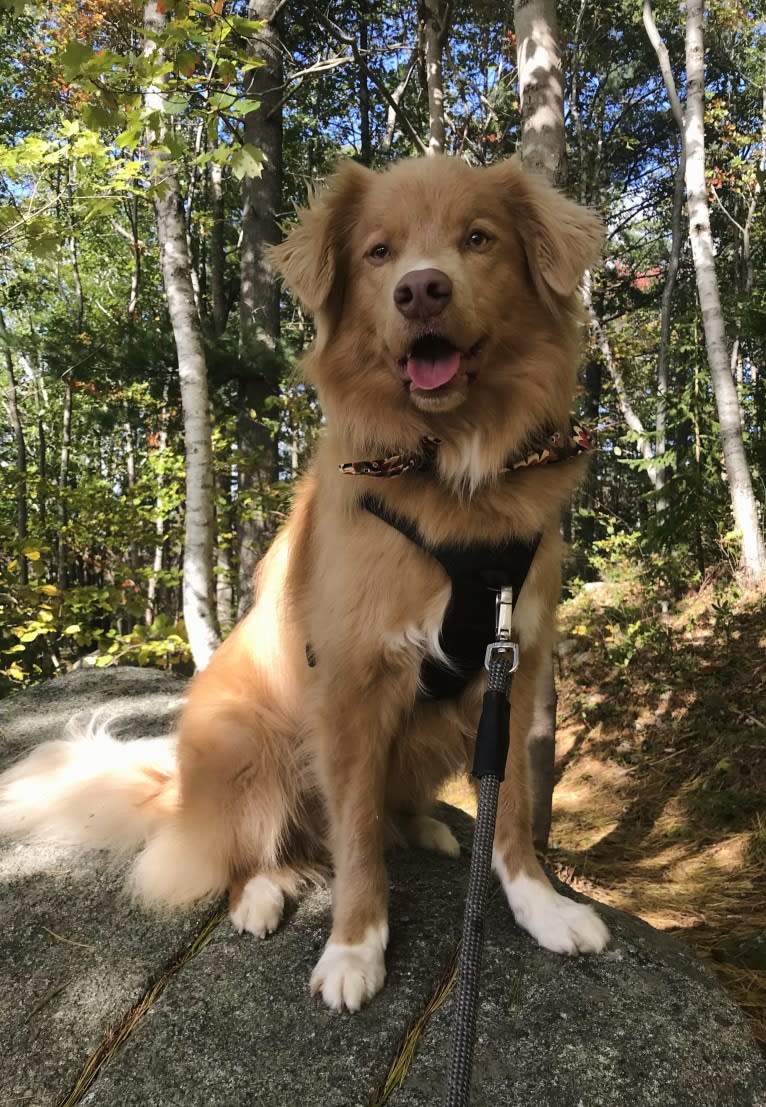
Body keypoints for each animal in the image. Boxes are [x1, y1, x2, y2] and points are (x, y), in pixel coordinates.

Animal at [0, 156, 611, 1014]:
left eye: (478, 239)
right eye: (379, 253)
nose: (422, 290)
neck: (449, 473)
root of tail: (180, 794)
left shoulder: (511, 667)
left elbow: (513, 807)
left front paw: (540, 906)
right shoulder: (353, 685)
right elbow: (353, 840)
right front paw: (355, 947)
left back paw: (421, 826)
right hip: (245, 741)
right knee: (247, 853)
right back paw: (261, 891)